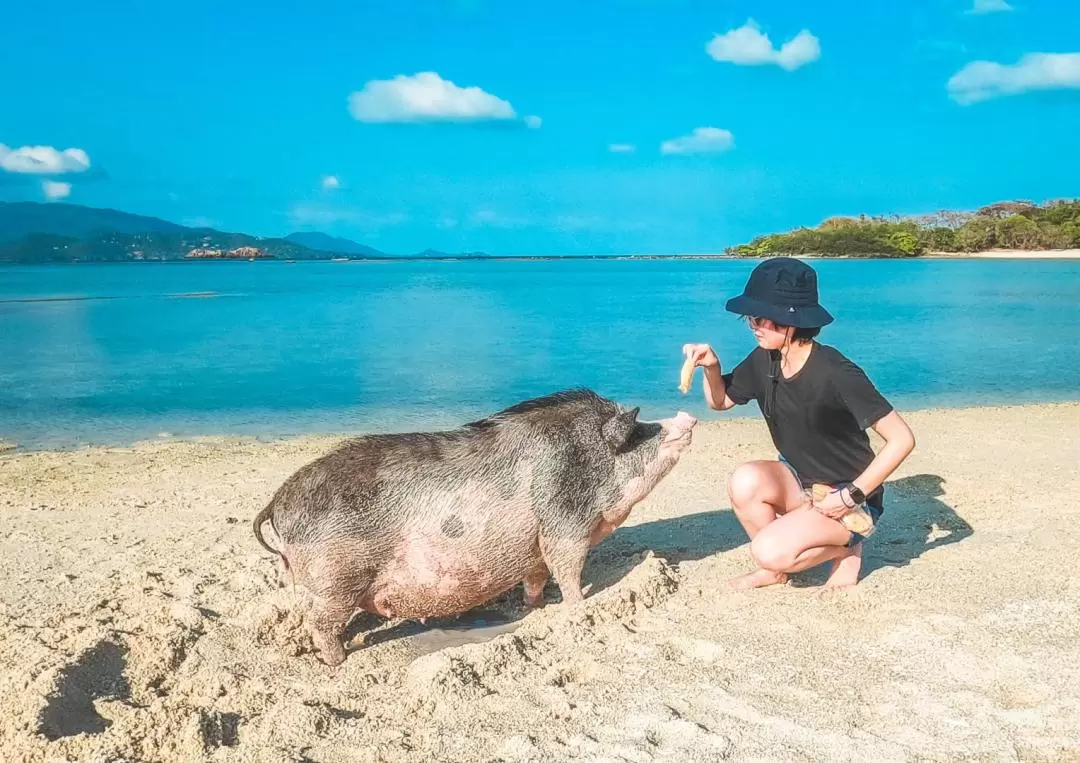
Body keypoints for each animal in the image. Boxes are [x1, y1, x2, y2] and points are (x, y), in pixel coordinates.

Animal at [250, 386, 691, 661]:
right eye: (638, 430)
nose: (686, 416)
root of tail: (278, 501)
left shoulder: (533, 545)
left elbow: (536, 576)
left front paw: (535, 607)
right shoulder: (564, 523)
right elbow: (567, 568)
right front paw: (578, 605)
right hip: (335, 580)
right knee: (320, 622)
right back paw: (338, 661)